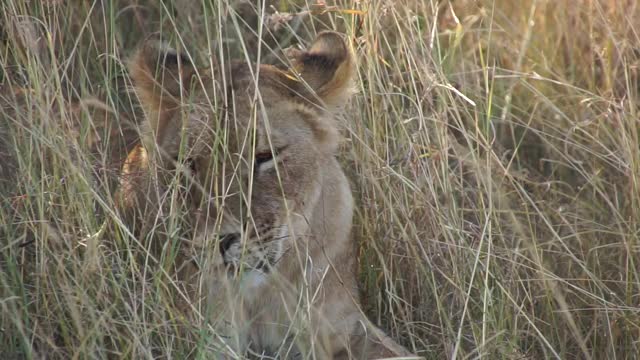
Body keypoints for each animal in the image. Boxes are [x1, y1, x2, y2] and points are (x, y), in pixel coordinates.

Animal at [115, 32, 418, 358]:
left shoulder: (344, 328)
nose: (219, 241)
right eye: (188, 163)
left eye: (264, 156)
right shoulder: (202, 338)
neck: (260, 296)